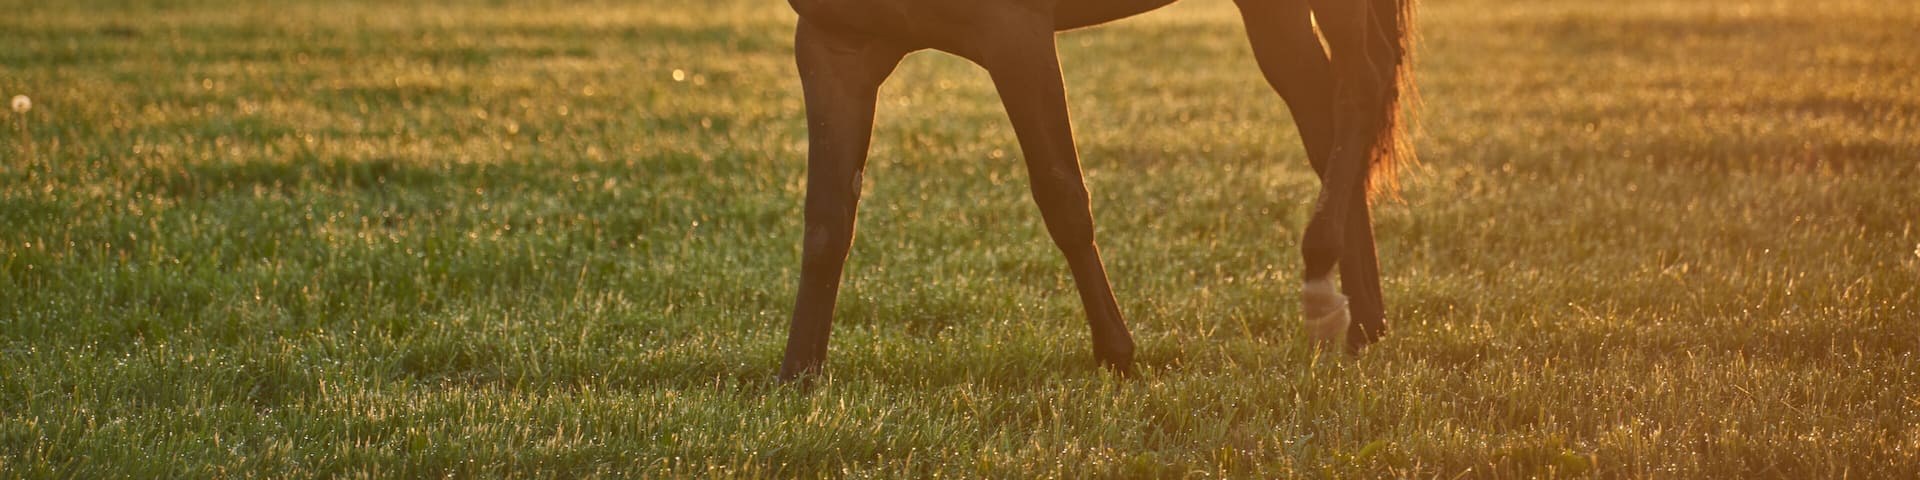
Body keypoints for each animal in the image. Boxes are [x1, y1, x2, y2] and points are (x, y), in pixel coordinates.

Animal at [776, 0, 1417, 380]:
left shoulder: (1014, 34)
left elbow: (1062, 195)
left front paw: (1117, 354)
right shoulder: (834, 47)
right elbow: (827, 221)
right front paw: (798, 376)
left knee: (1359, 85)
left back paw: (1323, 278)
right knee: (1323, 115)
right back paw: (1363, 322)